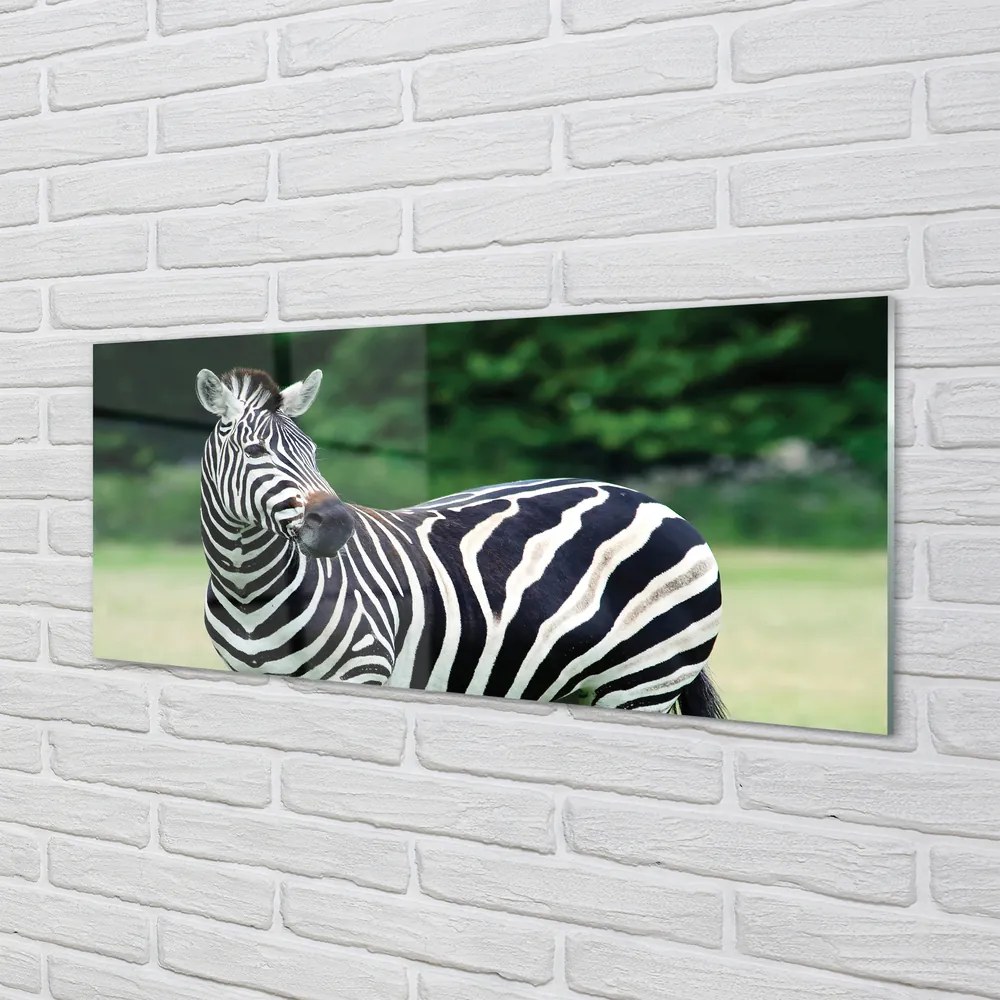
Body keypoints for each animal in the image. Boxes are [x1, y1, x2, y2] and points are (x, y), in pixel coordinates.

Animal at [196, 366, 725, 716]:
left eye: (312, 452)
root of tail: (654, 502)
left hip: (646, 683)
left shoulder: (364, 671)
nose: (338, 526)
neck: (248, 590)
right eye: (253, 451)